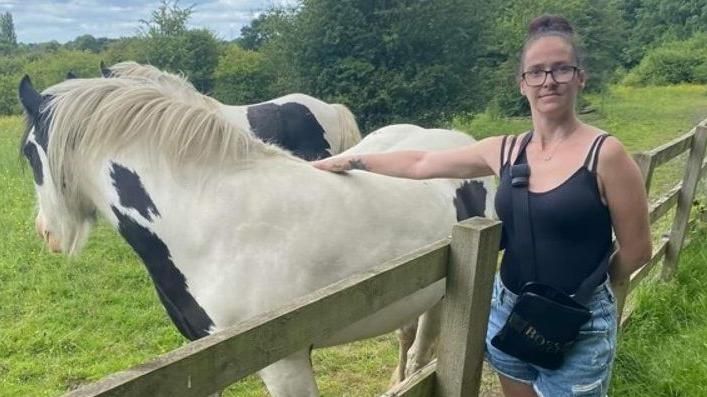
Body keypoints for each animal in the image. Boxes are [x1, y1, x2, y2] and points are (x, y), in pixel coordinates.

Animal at [16, 75, 492, 396]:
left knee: (422, 352)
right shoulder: (204, 360)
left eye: (28, 153)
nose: (46, 233)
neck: (215, 224)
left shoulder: (286, 363)